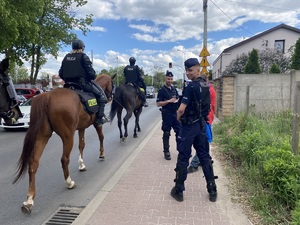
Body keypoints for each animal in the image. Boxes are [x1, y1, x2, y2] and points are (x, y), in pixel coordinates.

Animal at [12, 73, 115, 214]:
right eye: (112, 84)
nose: (111, 97)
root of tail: (47, 96)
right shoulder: (96, 124)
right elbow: (101, 137)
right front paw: (101, 154)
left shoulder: (81, 128)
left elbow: (82, 145)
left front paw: (81, 164)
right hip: (67, 136)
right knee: (64, 159)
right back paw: (69, 182)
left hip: (42, 136)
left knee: (33, 163)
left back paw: (29, 200)